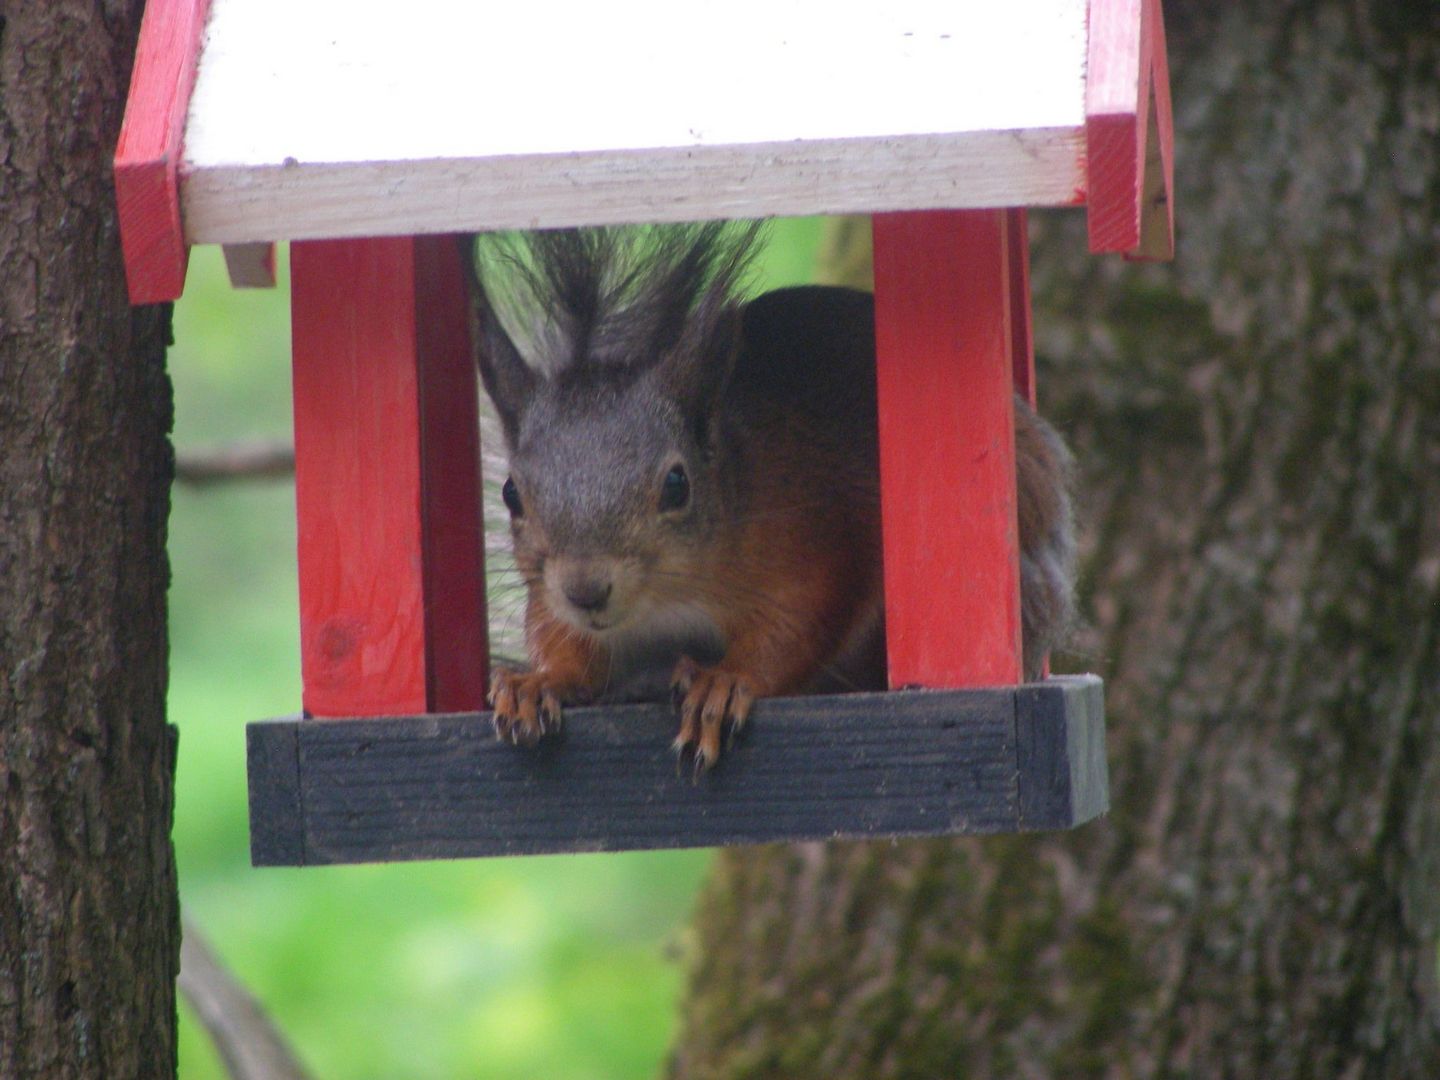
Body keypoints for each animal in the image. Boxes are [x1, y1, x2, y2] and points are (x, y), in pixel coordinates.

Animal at [465, 223, 1075, 771]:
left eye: (677, 484)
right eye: (511, 493)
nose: (586, 591)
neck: (667, 601)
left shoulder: (812, 543)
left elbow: (796, 626)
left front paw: (724, 682)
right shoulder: (554, 599)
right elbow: (565, 644)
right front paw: (535, 682)